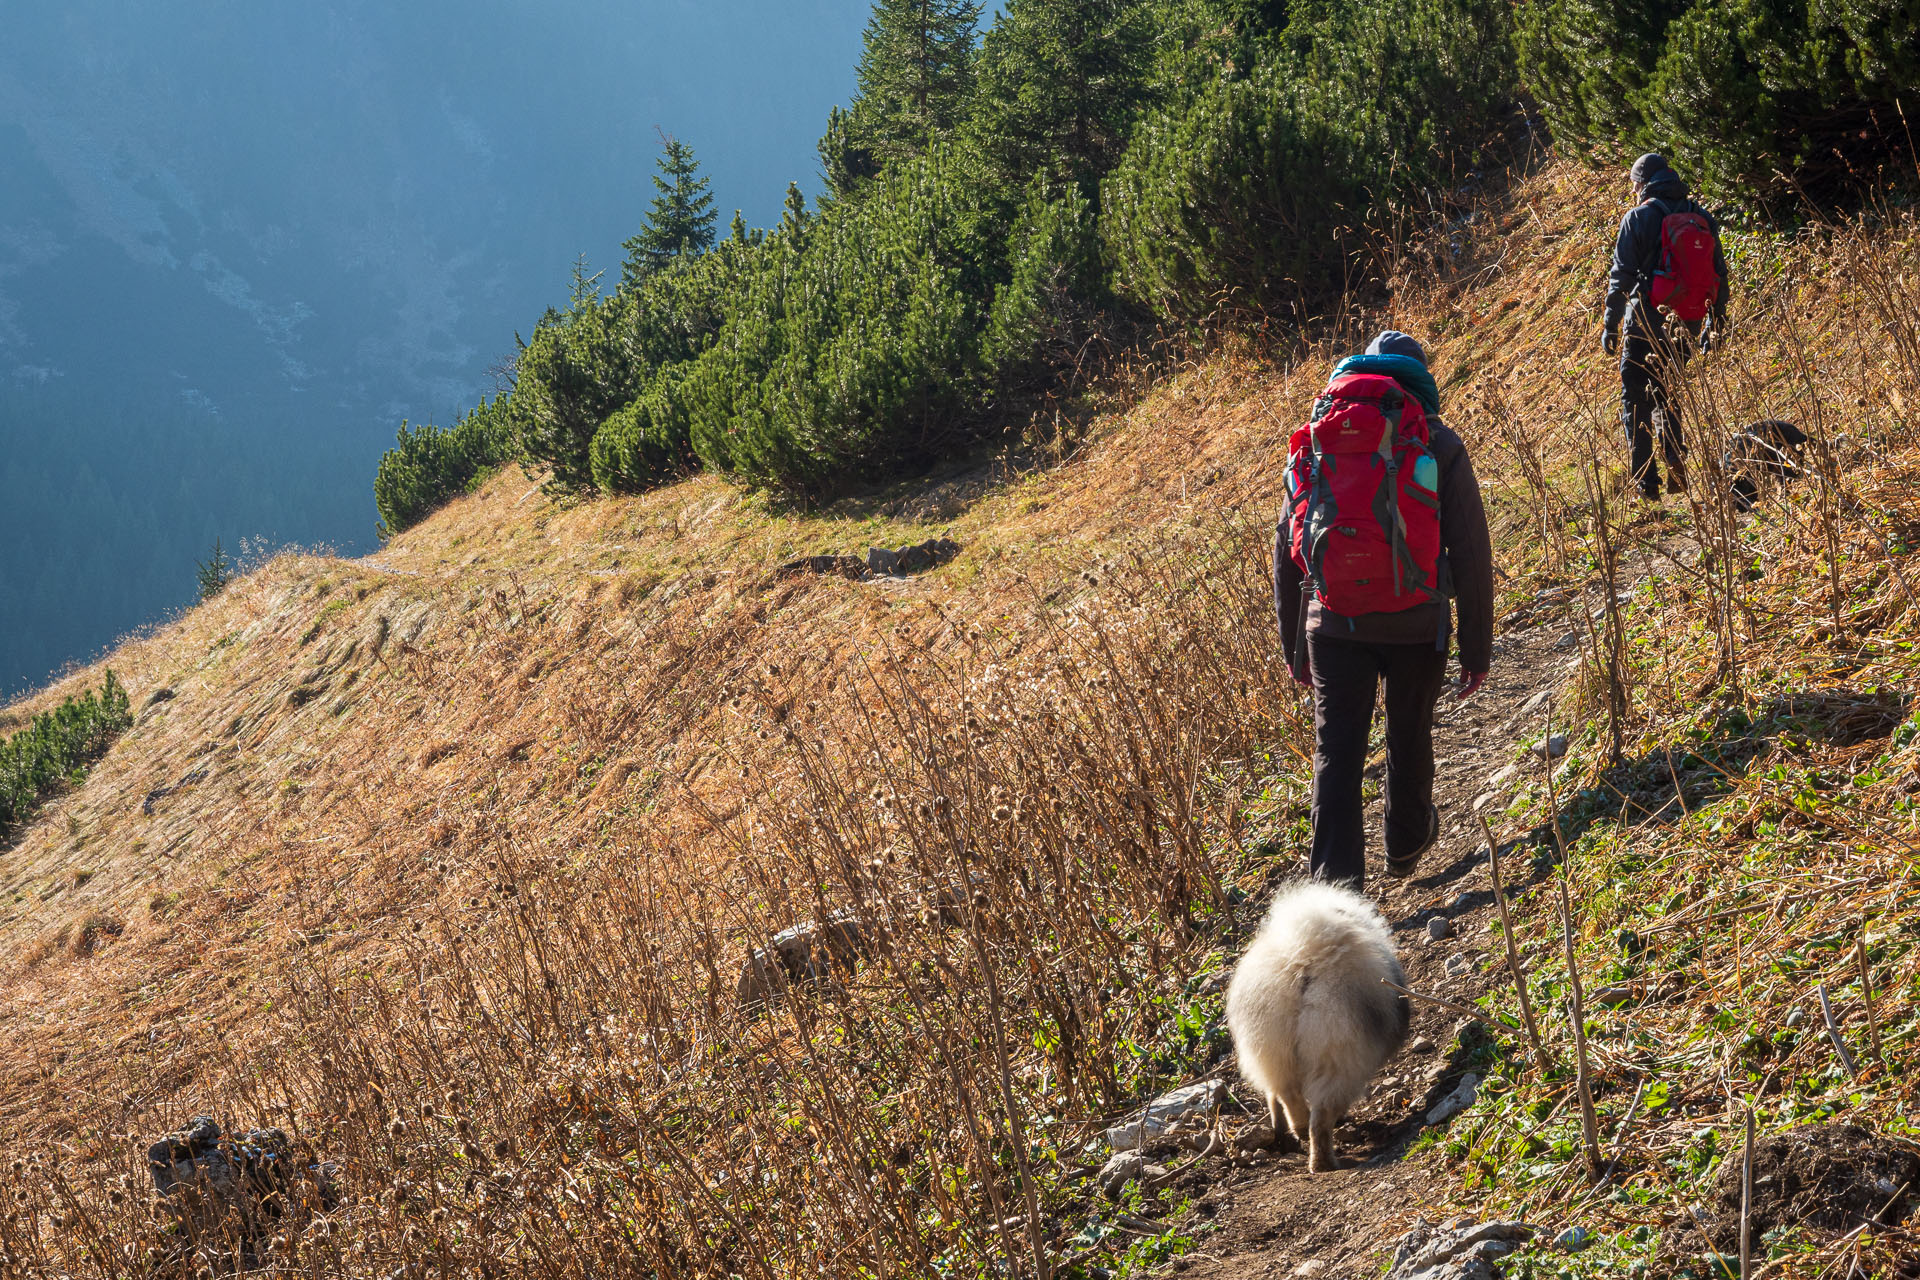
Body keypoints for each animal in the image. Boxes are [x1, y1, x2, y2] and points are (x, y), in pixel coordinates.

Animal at [1228, 882, 1413, 1174]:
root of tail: (1303, 964)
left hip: (1272, 1050)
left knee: (1288, 1095)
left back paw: (1299, 1130)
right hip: (1335, 1055)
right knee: (1321, 1118)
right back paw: (1323, 1161)